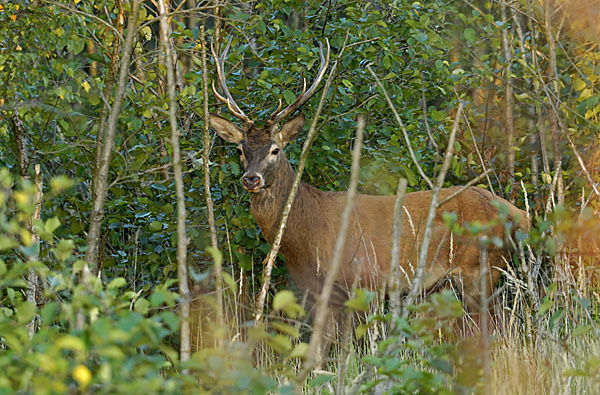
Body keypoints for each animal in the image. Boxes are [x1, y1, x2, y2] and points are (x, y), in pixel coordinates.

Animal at [209, 38, 528, 338]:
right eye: (240, 149)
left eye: (275, 149)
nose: (251, 179)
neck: (303, 235)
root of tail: (519, 214)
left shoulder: (361, 281)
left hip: (481, 268)